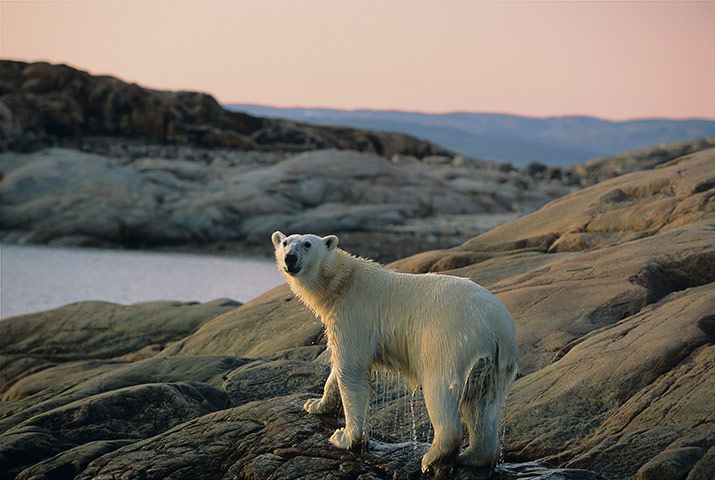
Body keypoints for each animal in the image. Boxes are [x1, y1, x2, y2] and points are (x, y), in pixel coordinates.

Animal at [272, 232, 516, 472]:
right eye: (285, 242)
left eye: (307, 244)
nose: (290, 258)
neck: (342, 283)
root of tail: (496, 326)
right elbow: (337, 371)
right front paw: (315, 405)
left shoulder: (355, 315)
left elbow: (351, 372)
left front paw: (345, 437)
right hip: (496, 362)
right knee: (483, 403)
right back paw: (474, 456)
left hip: (449, 339)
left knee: (441, 391)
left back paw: (432, 458)